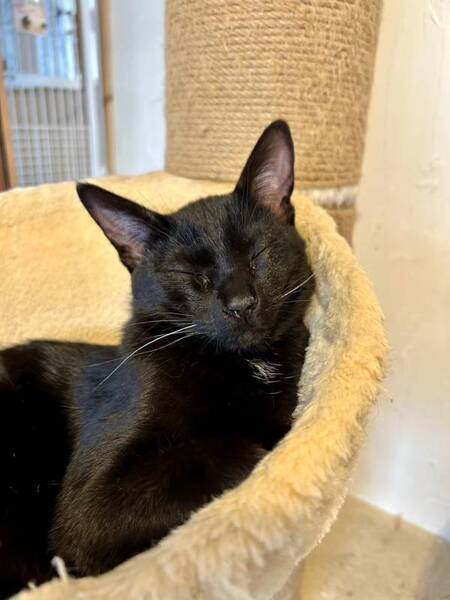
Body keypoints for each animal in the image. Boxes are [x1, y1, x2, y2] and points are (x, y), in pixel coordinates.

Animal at [0, 120, 314, 597]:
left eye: (259, 255)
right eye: (189, 275)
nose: (241, 303)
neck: (242, 364)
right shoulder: (91, 508)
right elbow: (227, 451)